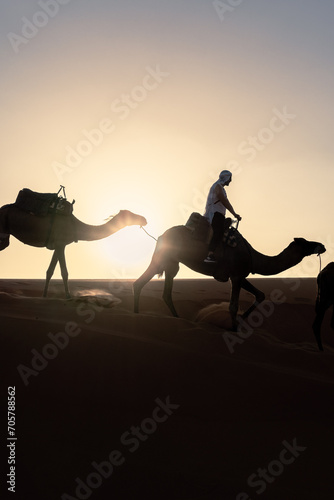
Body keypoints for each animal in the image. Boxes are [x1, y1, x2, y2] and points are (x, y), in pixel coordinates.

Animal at [0, 203, 146, 296]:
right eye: (130, 214)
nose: (144, 219)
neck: (75, 227)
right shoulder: (61, 244)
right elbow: (64, 272)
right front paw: (68, 296)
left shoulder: (59, 245)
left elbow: (50, 271)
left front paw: (44, 295)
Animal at [134, 222, 326, 328]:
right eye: (306, 243)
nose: (322, 245)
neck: (253, 256)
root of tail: (162, 235)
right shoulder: (236, 276)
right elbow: (233, 306)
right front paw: (233, 328)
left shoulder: (240, 275)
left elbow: (260, 295)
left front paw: (241, 321)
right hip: (162, 257)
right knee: (140, 282)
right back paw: (136, 315)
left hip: (172, 263)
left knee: (165, 292)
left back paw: (177, 318)